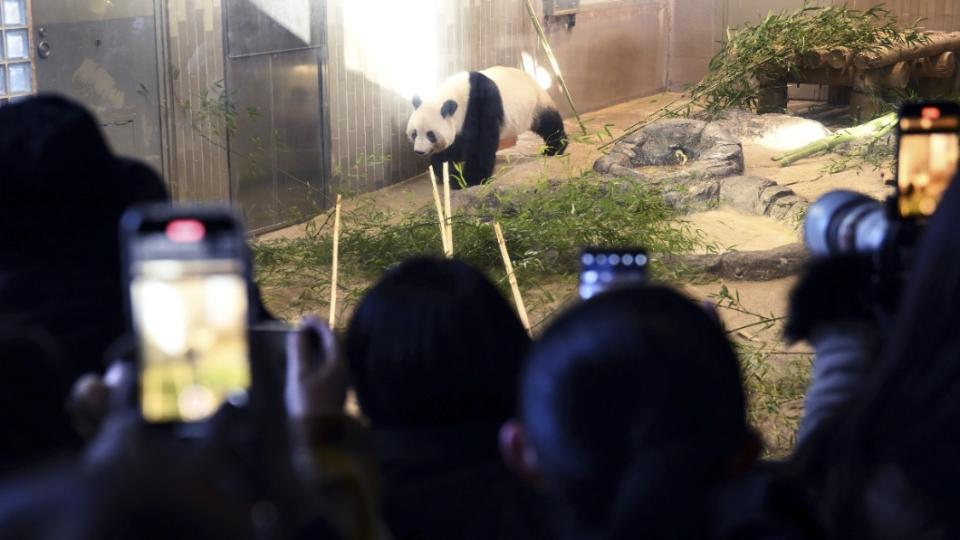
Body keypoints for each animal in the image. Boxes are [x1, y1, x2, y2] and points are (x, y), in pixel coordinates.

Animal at [406, 66, 568, 188]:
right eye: (414, 133)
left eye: (430, 134)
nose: (419, 151)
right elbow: (450, 148)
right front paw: (449, 173)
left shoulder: (481, 104)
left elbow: (481, 143)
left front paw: (470, 180)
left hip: (535, 105)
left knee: (549, 124)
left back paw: (555, 148)